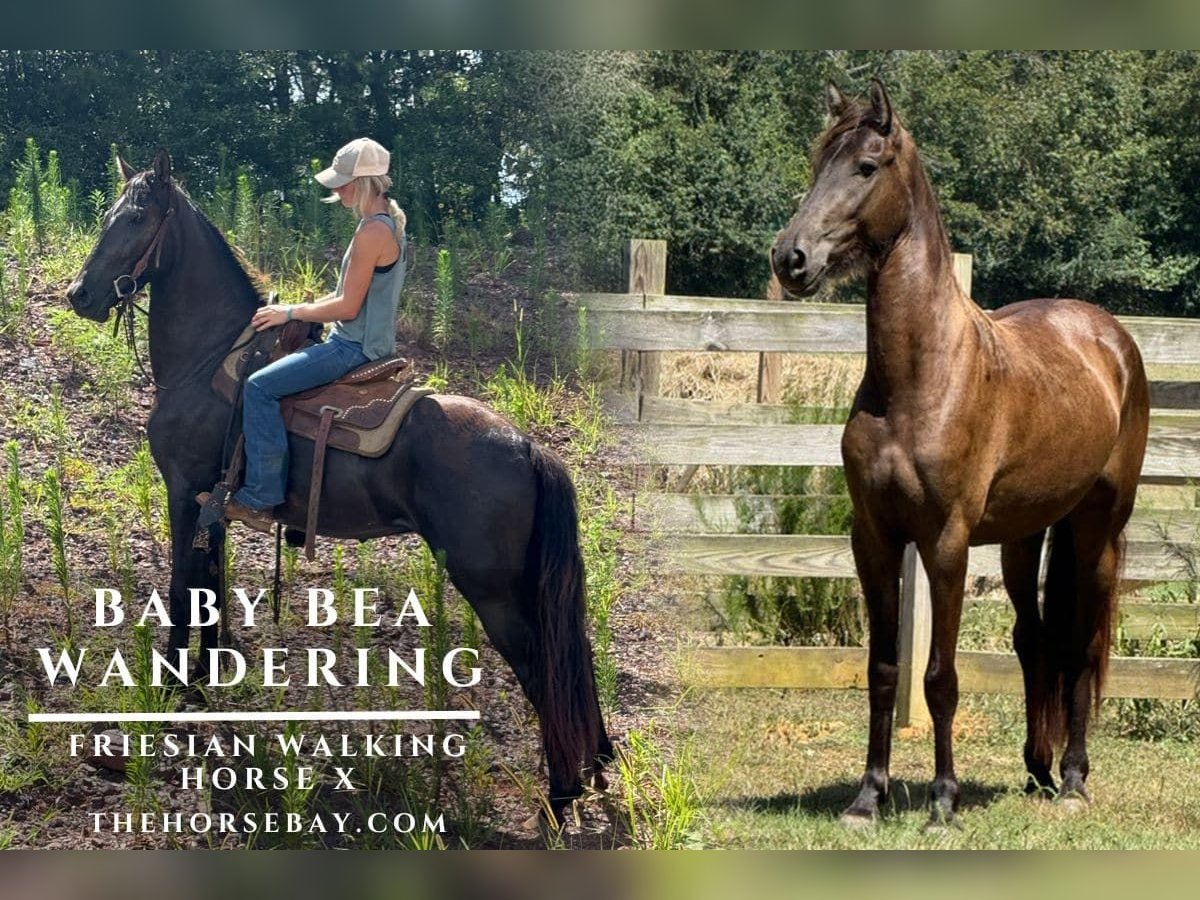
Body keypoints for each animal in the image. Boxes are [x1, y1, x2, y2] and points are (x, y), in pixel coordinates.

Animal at [64, 150, 613, 825]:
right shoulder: (211, 506)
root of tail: (528, 447)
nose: (80, 295)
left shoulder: (184, 493)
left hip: (492, 587)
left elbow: (180, 590)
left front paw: (167, 691)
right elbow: (209, 588)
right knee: (573, 656)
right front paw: (201, 686)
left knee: (542, 668)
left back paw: (560, 797)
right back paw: (595, 766)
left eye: (137, 217)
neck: (208, 358)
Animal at [771, 81, 1150, 826]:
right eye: (816, 164)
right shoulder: (875, 539)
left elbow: (941, 676)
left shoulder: (945, 542)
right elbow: (884, 670)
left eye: (866, 166)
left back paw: (1073, 781)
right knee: (1036, 642)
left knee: (1082, 645)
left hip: (1098, 528)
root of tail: (1109, 338)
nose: (790, 259)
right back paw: (1036, 770)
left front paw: (942, 798)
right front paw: (868, 797)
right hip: (1024, 537)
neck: (920, 378)